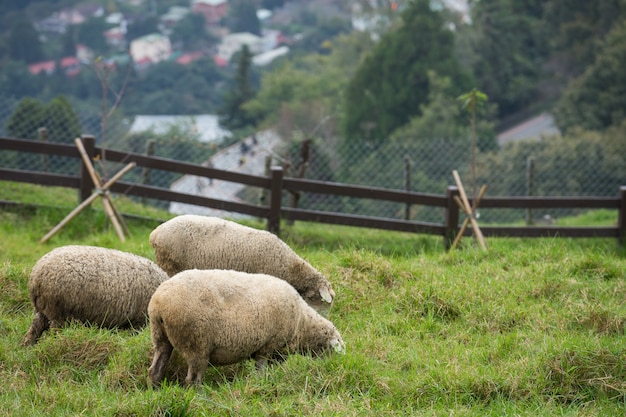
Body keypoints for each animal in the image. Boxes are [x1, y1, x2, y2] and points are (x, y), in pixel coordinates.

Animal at [21, 244, 168, 344]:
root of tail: (37, 275)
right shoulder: (139, 321)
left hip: (42, 310)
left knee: (34, 329)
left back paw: (27, 346)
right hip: (58, 313)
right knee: (54, 332)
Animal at [147, 268, 346, 386]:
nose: (334, 367)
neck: (302, 322)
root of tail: (159, 302)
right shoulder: (269, 345)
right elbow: (261, 369)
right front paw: (261, 382)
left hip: (161, 337)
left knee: (155, 370)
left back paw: (154, 389)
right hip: (196, 343)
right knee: (193, 379)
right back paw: (200, 395)